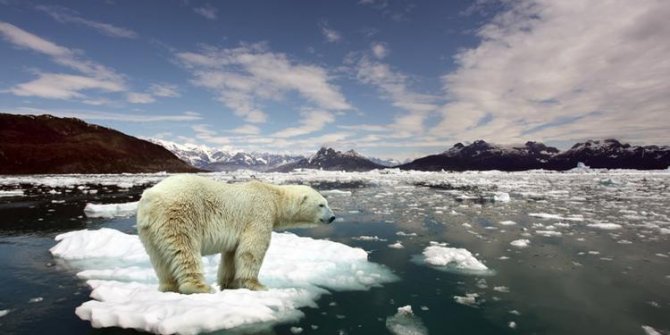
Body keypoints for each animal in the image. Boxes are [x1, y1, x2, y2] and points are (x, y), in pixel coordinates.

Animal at [136, 175, 336, 296]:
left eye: (326, 203)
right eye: (321, 205)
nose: (333, 217)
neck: (273, 198)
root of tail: (150, 199)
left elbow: (231, 255)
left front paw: (229, 284)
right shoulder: (258, 215)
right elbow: (252, 250)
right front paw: (257, 285)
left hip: (149, 230)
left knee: (159, 258)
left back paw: (168, 287)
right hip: (180, 214)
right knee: (185, 250)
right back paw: (200, 287)